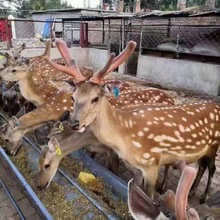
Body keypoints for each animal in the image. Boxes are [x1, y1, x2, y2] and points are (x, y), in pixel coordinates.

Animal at [45, 39, 220, 201]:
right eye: (73, 98)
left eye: (95, 98)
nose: (74, 123)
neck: (125, 135)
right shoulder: (135, 167)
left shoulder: (151, 164)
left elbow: (148, 196)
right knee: (202, 165)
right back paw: (191, 192)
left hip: (214, 145)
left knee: (211, 168)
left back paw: (203, 196)